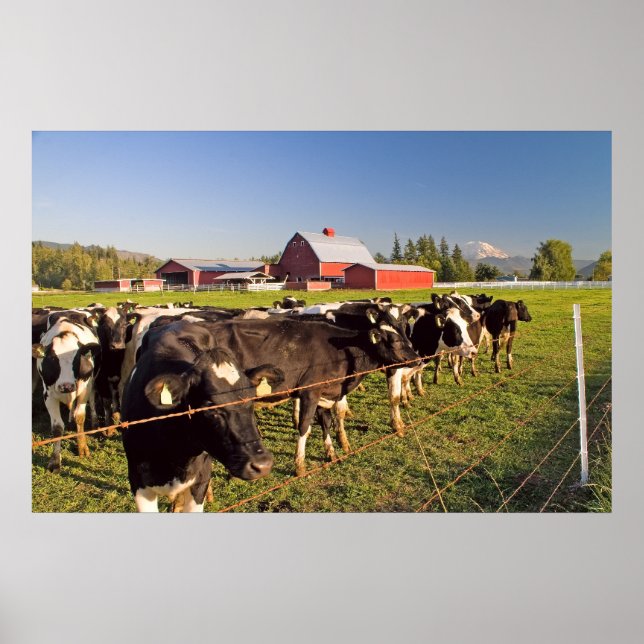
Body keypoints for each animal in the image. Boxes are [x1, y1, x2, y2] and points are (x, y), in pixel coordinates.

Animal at [32, 315, 101, 472]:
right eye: (52, 358)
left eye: (76, 359)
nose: (66, 386)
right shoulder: (49, 395)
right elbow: (57, 428)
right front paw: (55, 462)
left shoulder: (84, 389)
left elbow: (80, 417)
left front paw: (82, 447)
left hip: (92, 382)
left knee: (92, 398)